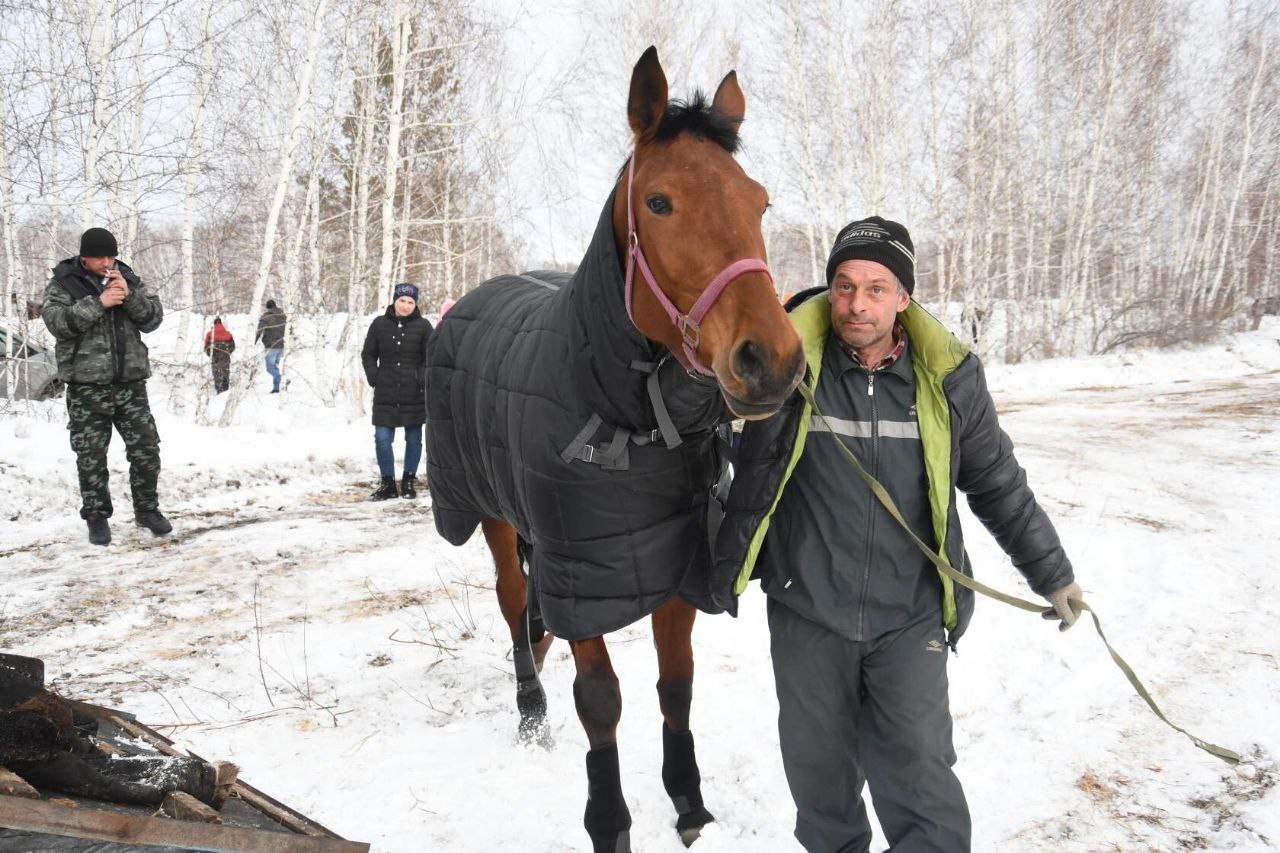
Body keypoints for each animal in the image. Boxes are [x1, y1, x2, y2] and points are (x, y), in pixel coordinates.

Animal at [424, 48, 803, 850]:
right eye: (659, 203)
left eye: (758, 203)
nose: (773, 362)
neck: (633, 417)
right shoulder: (584, 574)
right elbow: (600, 699)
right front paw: (611, 821)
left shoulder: (675, 563)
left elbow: (676, 685)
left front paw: (690, 805)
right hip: (494, 516)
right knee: (513, 601)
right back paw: (531, 708)